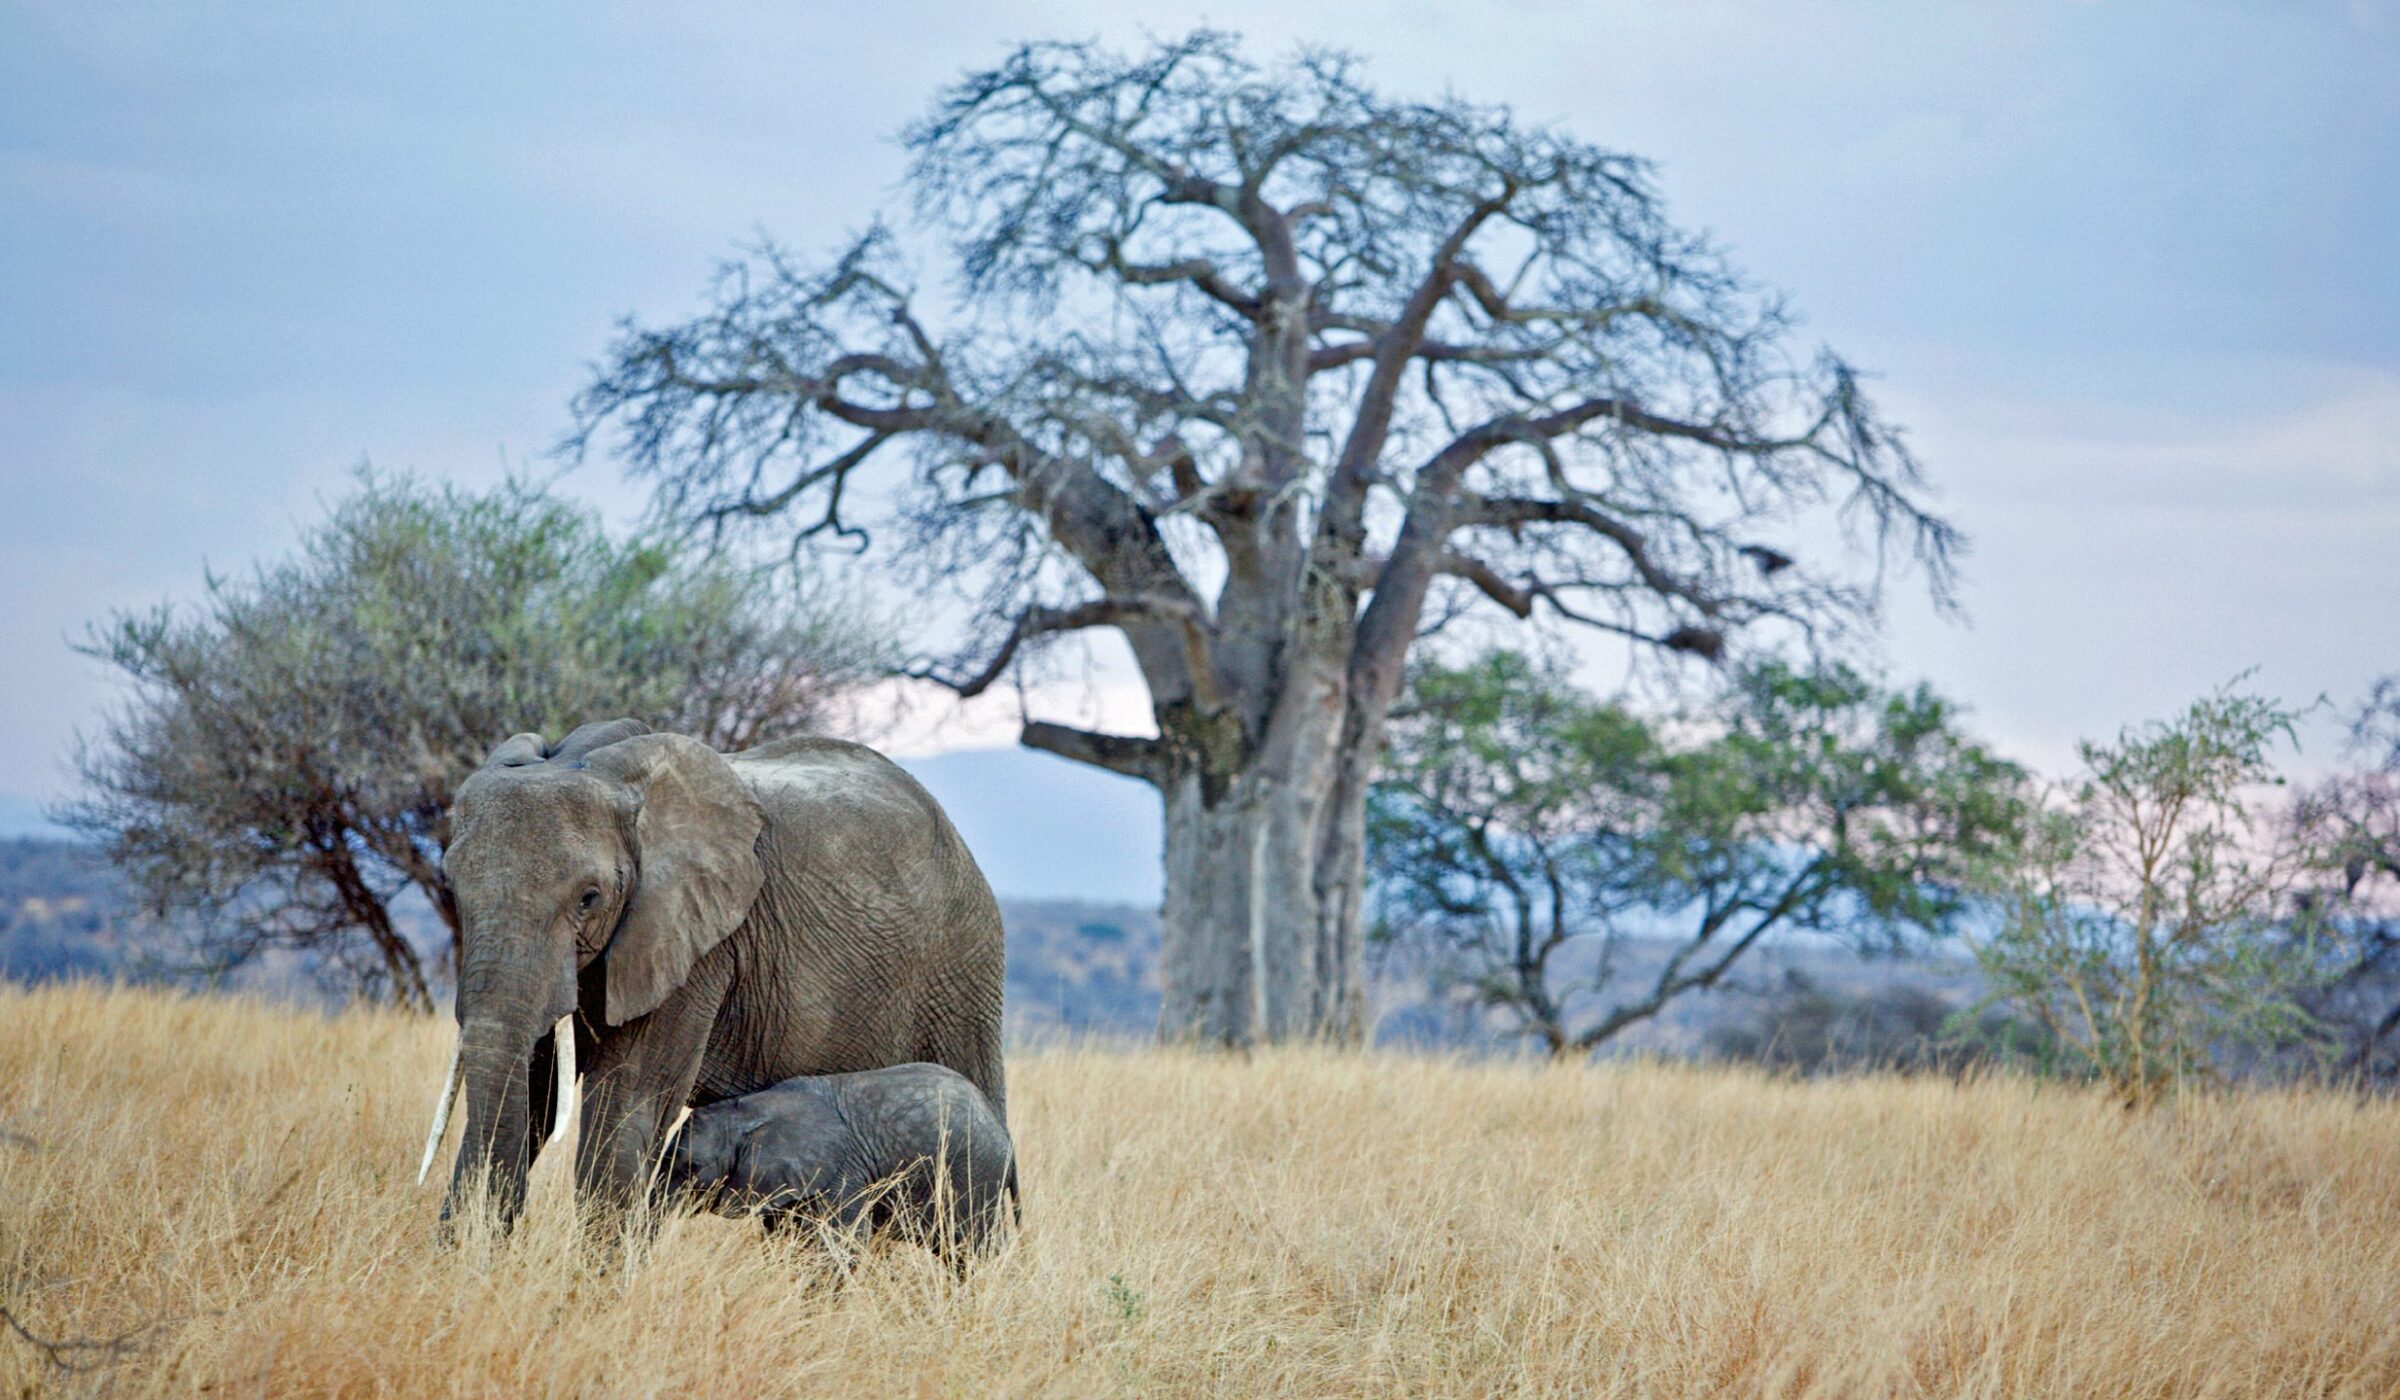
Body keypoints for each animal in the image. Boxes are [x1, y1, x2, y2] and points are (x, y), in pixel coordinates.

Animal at [417, 719, 1007, 1234]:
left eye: (589, 898)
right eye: (451, 885)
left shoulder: (698, 944)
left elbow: (630, 1099)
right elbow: (535, 1083)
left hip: (961, 973)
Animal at [658, 1063, 1017, 1261]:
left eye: (691, 1168)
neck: (746, 1109)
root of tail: (1005, 1134)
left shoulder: (841, 1173)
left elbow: (843, 1243)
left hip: (973, 1173)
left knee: (971, 1250)